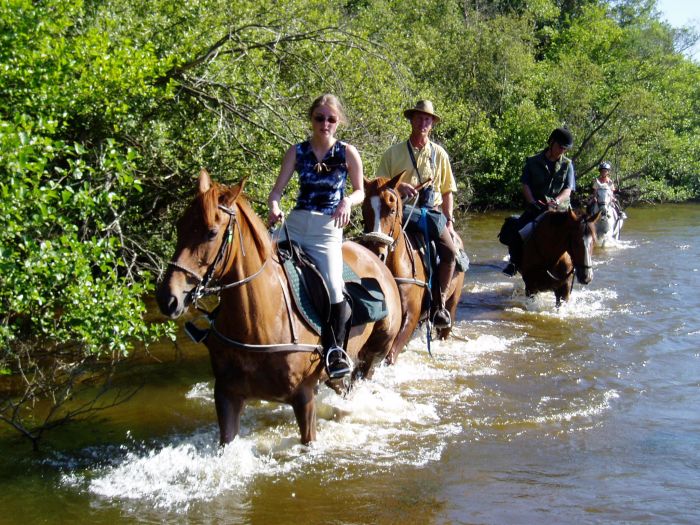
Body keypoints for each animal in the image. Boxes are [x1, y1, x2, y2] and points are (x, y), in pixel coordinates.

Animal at [157, 170, 402, 444]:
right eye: (180, 226)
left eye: (211, 232)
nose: (168, 298)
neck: (258, 321)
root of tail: (376, 259)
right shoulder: (226, 396)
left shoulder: (304, 397)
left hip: (374, 354)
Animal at [360, 174, 464, 362]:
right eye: (365, 210)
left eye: (392, 209)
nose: (376, 254)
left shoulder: (411, 316)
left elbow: (390, 356)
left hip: (451, 304)